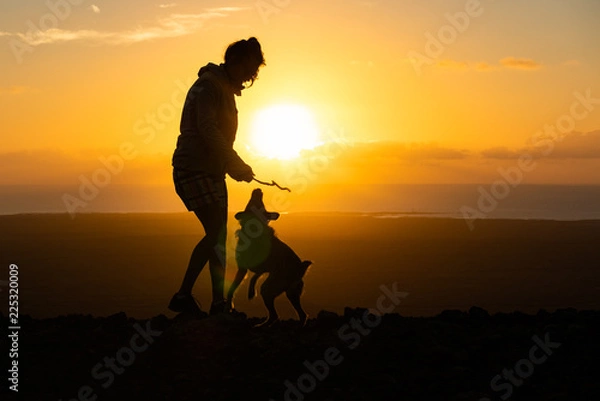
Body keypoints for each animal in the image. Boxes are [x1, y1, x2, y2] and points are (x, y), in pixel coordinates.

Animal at [224, 188, 310, 324]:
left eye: (260, 204)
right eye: (253, 202)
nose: (258, 190)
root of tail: (300, 269)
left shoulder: (244, 268)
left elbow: (232, 289)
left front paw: (229, 306)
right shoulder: (260, 268)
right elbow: (255, 276)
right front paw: (251, 292)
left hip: (268, 289)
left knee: (275, 315)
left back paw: (260, 325)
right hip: (291, 293)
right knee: (302, 315)